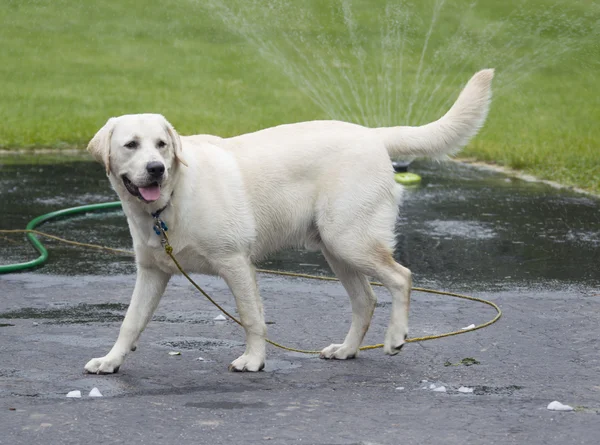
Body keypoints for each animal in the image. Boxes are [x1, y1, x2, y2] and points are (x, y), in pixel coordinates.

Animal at [85, 69, 496, 372]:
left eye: (162, 145)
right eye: (131, 145)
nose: (156, 168)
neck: (169, 201)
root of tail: (372, 134)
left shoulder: (236, 263)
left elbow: (251, 317)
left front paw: (254, 361)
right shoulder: (152, 272)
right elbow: (131, 321)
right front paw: (111, 360)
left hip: (350, 239)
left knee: (401, 277)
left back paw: (395, 337)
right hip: (336, 249)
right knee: (366, 300)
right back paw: (346, 350)